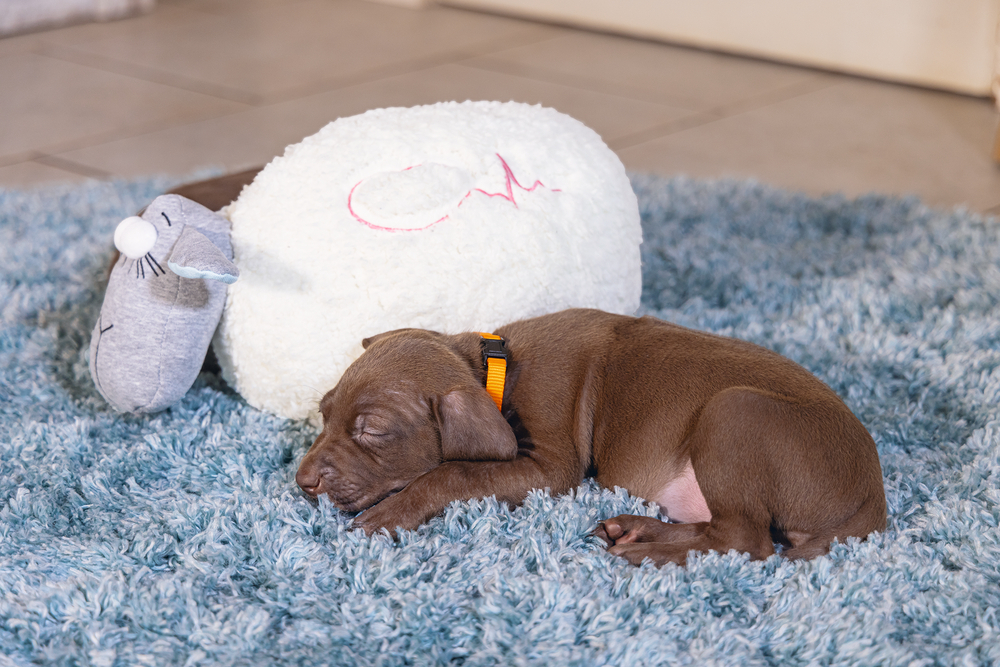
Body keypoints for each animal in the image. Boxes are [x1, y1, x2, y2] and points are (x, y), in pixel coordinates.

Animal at [294, 310, 884, 568]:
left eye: (372, 431)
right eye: (323, 413)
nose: (300, 482)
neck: (494, 369)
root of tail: (874, 498)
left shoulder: (549, 466)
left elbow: (453, 471)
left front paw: (389, 515)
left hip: (734, 410)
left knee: (746, 540)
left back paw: (645, 553)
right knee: (722, 527)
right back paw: (636, 529)